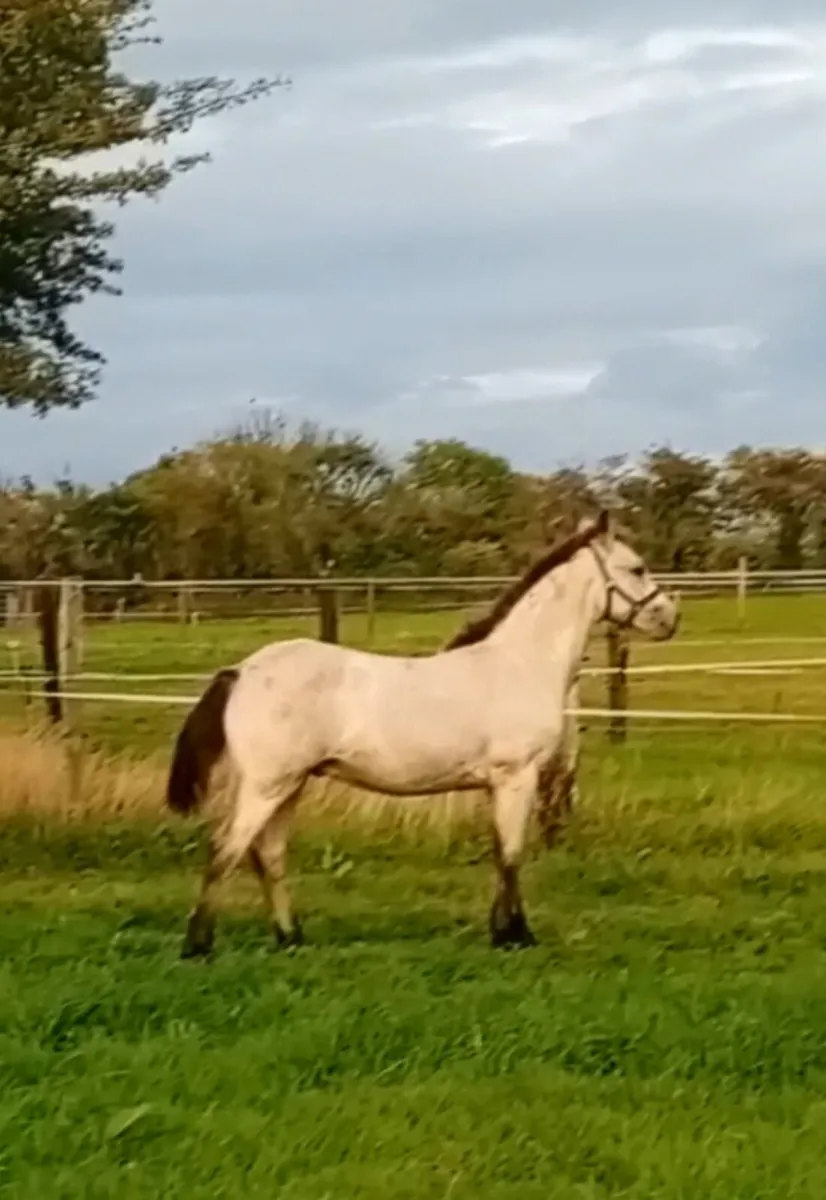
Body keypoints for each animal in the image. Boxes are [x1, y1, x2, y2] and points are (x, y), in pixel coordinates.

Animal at [165, 511, 679, 956]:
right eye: (636, 567)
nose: (669, 618)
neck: (520, 662)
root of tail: (241, 672)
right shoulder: (517, 776)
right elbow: (512, 854)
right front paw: (517, 936)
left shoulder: (499, 784)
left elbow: (500, 853)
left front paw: (502, 931)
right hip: (267, 786)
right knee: (224, 851)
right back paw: (198, 947)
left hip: (289, 786)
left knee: (267, 856)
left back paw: (291, 939)